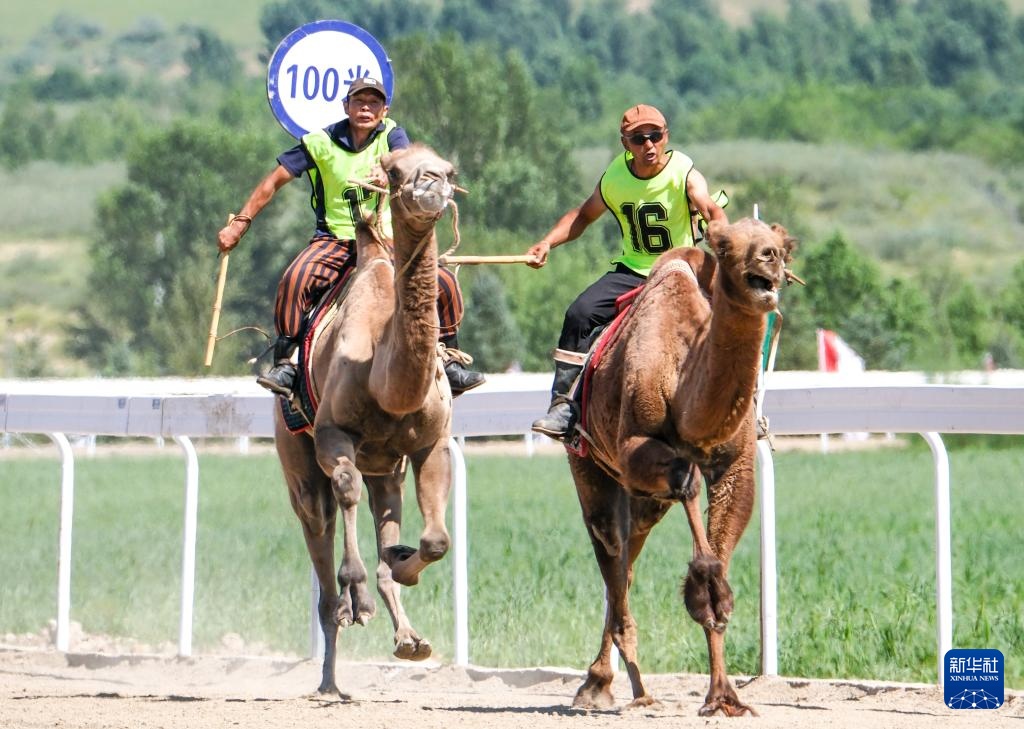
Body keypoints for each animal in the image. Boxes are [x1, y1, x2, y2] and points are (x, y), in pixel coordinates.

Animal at [273, 144, 458, 696]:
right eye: (394, 171)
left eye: (447, 166)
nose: (434, 182)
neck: (385, 379)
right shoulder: (334, 433)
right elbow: (346, 489)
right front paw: (358, 589)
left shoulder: (431, 444)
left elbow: (435, 539)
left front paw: (402, 568)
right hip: (297, 462)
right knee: (322, 523)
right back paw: (331, 676)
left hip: (387, 468)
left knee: (384, 510)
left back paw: (408, 636)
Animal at [566, 218, 796, 717]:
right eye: (726, 245)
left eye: (783, 244)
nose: (768, 256)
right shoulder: (635, 449)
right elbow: (688, 496)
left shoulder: (735, 466)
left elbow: (719, 557)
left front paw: (725, 697)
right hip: (590, 464)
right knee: (610, 549)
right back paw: (603, 683)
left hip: (644, 502)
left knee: (627, 560)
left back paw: (618, 681)